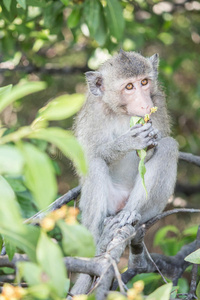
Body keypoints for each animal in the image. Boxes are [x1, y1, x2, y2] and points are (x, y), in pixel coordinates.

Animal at [70, 49, 178, 296]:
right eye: (129, 87)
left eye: (144, 82)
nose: (145, 103)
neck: (122, 112)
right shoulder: (94, 114)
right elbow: (87, 158)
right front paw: (128, 142)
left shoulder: (159, 103)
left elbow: (160, 144)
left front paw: (152, 140)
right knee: (96, 164)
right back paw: (101, 242)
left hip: (149, 208)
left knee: (169, 147)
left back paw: (129, 214)